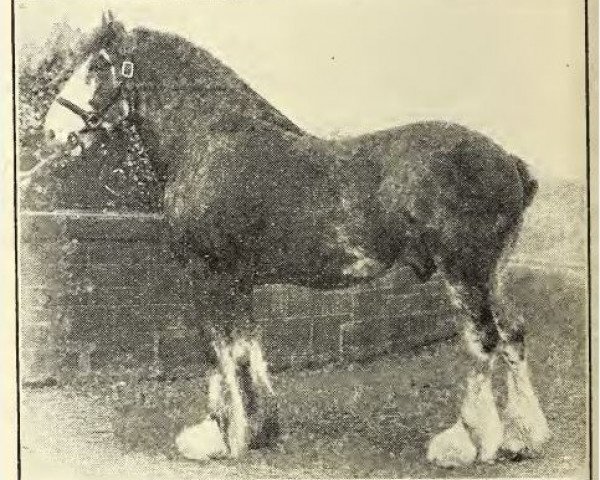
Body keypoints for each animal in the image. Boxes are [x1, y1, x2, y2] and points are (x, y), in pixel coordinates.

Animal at [41, 13, 548, 466]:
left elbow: (219, 351)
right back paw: (522, 439)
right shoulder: (238, 280)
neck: (210, 137)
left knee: (483, 342)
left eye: (96, 65)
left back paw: (468, 444)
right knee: (512, 334)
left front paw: (223, 437)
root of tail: (508, 161)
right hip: (492, 275)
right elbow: (246, 347)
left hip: (466, 273)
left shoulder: (210, 275)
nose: (52, 131)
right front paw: (257, 429)